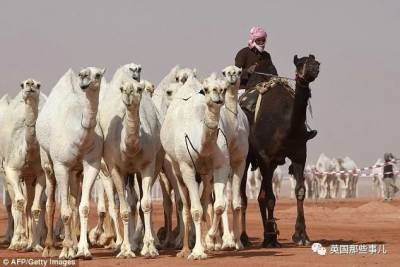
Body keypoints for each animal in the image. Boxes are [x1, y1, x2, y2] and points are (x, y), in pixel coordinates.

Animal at [0, 80, 46, 253]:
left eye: (39, 85)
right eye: (22, 84)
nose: (30, 83)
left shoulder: (39, 174)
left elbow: (36, 208)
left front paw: (36, 245)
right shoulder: (12, 170)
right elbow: (18, 202)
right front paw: (18, 242)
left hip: (28, 178)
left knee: (29, 205)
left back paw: (31, 241)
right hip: (7, 175)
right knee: (14, 203)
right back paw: (15, 240)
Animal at [37, 67, 105, 260]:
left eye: (98, 75)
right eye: (83, 73)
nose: (84, 78)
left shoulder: (92, 164)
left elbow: (83, 207)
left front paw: (83, 250)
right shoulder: (61, 165)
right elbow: (65, 211)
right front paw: (66, 250)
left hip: (75, 172)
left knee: (74, 203)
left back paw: (74, 247)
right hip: (47, 161)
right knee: (51, 203)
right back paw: (49, 248)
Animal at [98, 63, 162, 258]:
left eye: (139, 89)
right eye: (121, 89)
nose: (128, 92)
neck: (131, 148)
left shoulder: (148, 165)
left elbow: (146, 204)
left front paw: (149, 247)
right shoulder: (115, 168)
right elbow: (124, 209)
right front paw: (126, 250)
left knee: (138, 202)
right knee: (126, 203)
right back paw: (127, 243)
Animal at [160, 73, 228, 260]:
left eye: (224, 88)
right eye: (206, 89)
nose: (217, 94)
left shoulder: (219, 166)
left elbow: (218, 206)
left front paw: (210, 239)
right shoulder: (187, 168)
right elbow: (195, 210)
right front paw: (197, 252)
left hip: (205, 174)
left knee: (205, 203)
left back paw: (205, 243)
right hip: (176, 169)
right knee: (185, 205)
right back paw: (184, 249)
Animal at [239, 55, 320, 249]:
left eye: (314, 60)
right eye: (300, 63)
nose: (314, 67)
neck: (285, 125)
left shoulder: (299, 155)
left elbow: (300, 191)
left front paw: (301, 235)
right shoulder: (266, 158)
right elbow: (270, 198)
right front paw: (271, 237)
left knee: (260, 196)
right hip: (246, 158)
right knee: (243, 197)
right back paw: (245, 238)